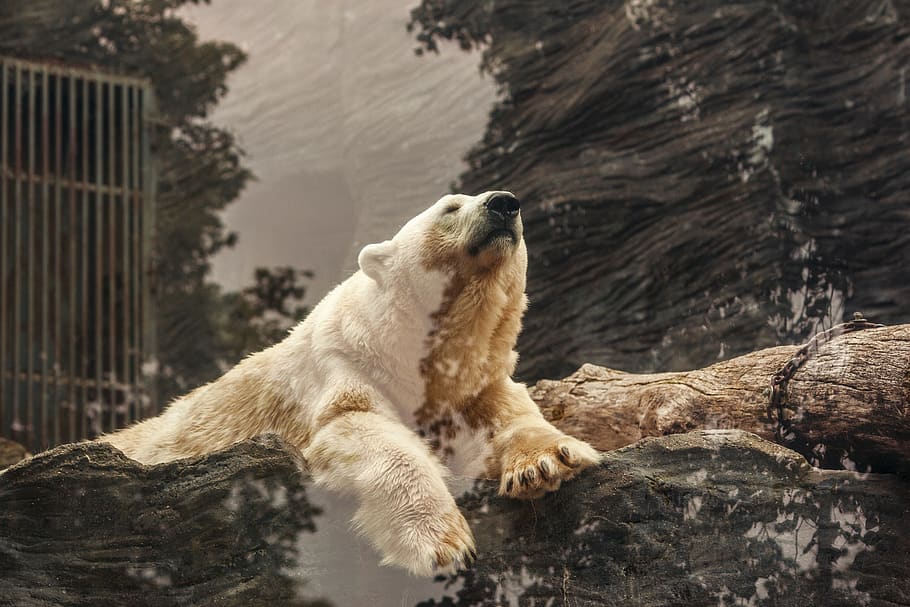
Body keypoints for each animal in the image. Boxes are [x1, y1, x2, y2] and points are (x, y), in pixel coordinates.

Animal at [101, 190, 600, 576]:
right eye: (450, 207)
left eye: (512, 208)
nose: (503, 203)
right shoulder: (344, 363)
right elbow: (357, 426)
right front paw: (443, 544)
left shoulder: (474, 385)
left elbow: (510, 415)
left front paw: (546, 463)